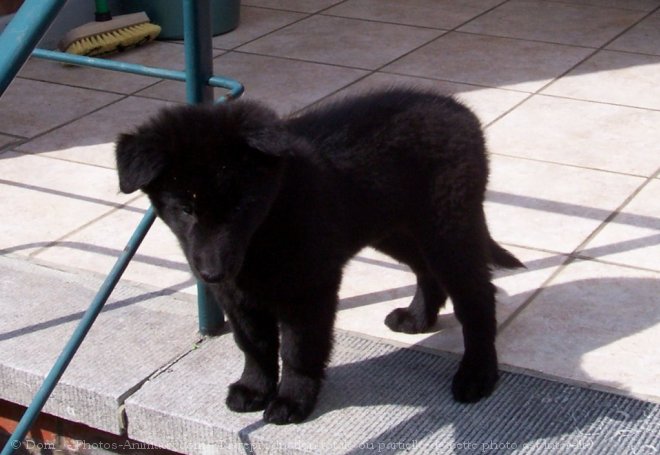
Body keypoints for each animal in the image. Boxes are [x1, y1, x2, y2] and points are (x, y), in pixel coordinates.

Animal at [116, 88, 524, 424]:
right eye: (185, 210)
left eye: (242, 207)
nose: (212, 273)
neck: (268, 225)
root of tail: (461, 112)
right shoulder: (236, 296)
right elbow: (254, 344)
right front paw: (255, 388)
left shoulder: (308, 290)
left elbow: (299, 349)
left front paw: (293, 400)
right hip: (393, 228)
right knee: (426, 269)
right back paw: (418, 318)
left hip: (447, 228)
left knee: (477, 296)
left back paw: (477, 373)